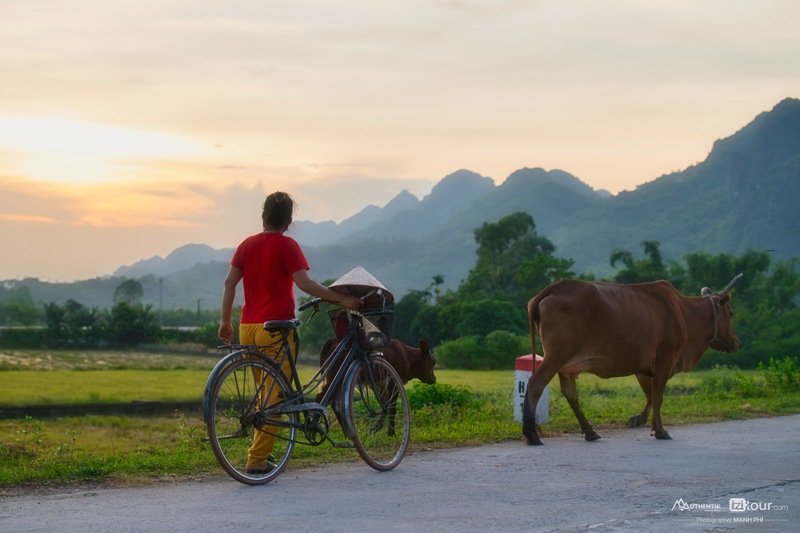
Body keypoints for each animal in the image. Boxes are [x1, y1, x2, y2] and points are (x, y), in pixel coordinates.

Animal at [520, 272, 740, 442]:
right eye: (730, 313)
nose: (737, 343)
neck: (683, 311)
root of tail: (553, 288)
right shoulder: (665, 359)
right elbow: (658, 395)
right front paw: (660, 430)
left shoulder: (642, 367)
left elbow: (650, 395)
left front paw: (638, 419)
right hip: (556, 356)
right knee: (536, 384)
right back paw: (531, 434)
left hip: (566, 365)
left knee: (570, 393)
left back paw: (590, 432)